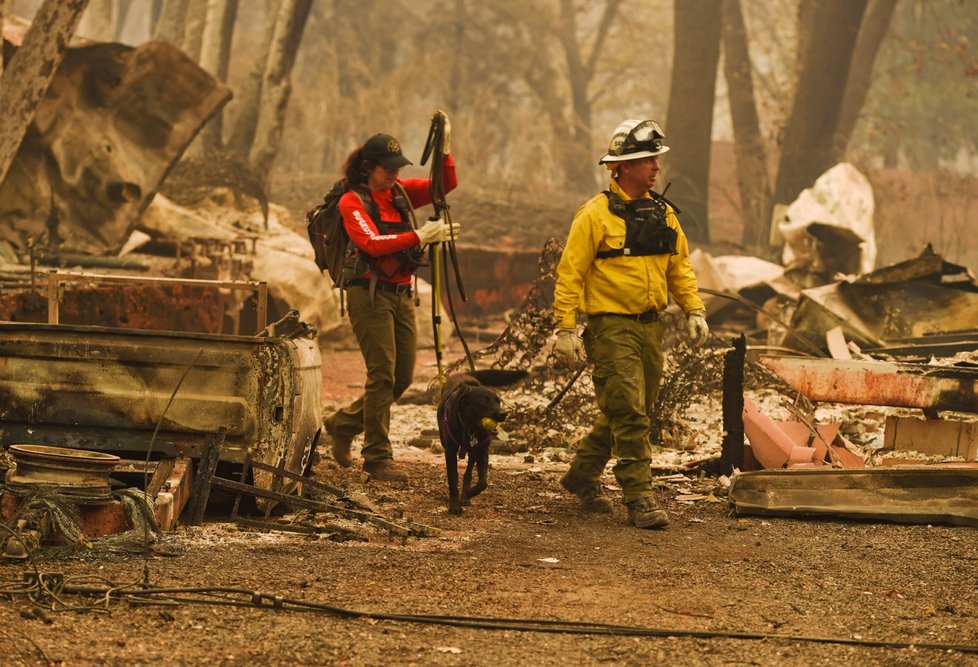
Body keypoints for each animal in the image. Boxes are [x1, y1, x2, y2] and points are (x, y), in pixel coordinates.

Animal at [436, 368, 528, 516]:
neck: (470, 428)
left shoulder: (482, 451)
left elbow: (483, 482)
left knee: (468, 473)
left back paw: (465, 496)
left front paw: (469, 493)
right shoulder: (449, 452)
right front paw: (454, 506)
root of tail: (464, 374)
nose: (504, 413)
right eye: (483, 401)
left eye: (498, 401)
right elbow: (453, 480)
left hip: (473, 453)